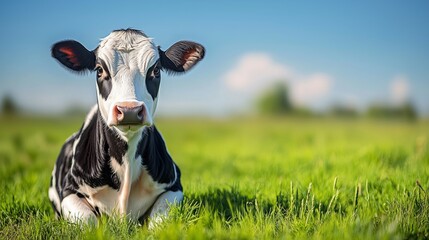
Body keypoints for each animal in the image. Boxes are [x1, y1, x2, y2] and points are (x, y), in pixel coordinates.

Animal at [47, 29, 205, 226]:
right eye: (99, 69)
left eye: (156, 70)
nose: (129, 110)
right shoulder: (69, 191)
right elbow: (89, 221)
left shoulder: (174, 186)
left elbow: (159, 221)